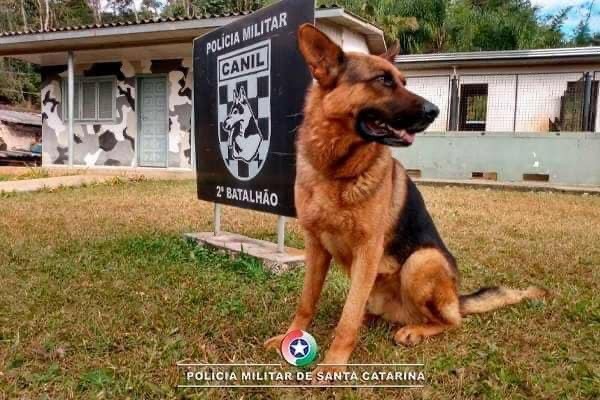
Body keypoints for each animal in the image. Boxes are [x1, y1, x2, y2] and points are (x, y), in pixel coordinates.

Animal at [264, 24, 548, 376]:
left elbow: (348, 318)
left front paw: (334, 364)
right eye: (383, 80)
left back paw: (414, 330)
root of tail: (457, 296)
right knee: (366, 309)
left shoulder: (368, 250)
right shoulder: (315, 247)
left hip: (421, 261)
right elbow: (307, 302)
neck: (336, 171)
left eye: (403, 81)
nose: (434, 111)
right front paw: (291, 337)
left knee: (451, 321)